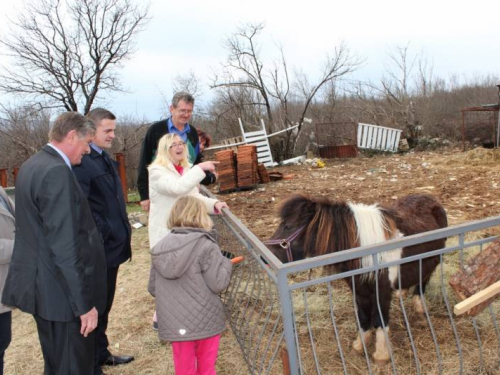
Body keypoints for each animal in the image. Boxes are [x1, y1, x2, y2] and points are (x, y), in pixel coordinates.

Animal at [268, 195, 448, 366]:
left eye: (288, 226)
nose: (267, 257)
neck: (369, 252)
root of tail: (430, 198)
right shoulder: (360, 291)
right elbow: (363, 318)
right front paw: (359, 346)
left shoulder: (382, 292)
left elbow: (380, 320)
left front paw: (381, 356)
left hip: (432, 260)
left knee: (422, 283)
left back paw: (419, 310)